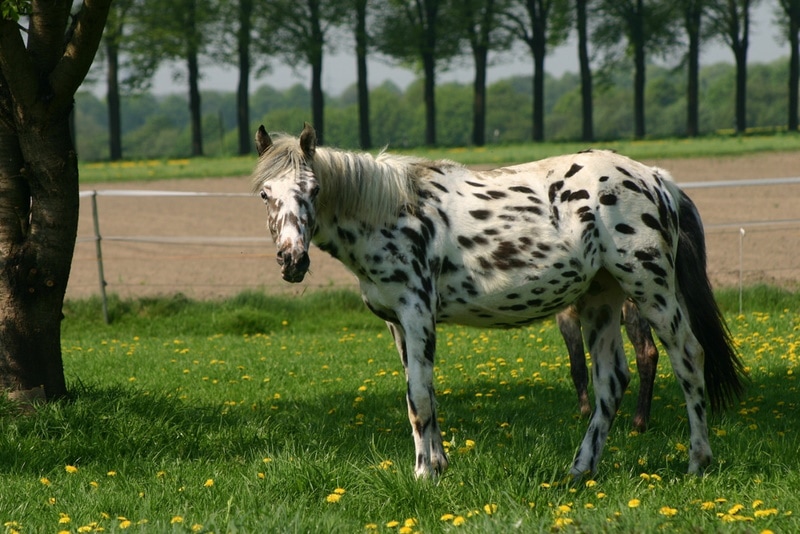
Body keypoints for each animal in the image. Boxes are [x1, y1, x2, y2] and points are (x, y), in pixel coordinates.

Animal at [253, 123, 748, 480]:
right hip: (601, 299)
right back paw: (580, 471)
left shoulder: (416, 315)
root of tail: (658, 179)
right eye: (264, 193)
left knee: (688, 357)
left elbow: (419, 397)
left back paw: (697, 462)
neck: (392, 211)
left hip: (650, 288)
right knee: (611, 381)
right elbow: (424, 394)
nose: (292, 261)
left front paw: (423, 475)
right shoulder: (397, 323)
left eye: (314, 190)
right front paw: (438, 466)